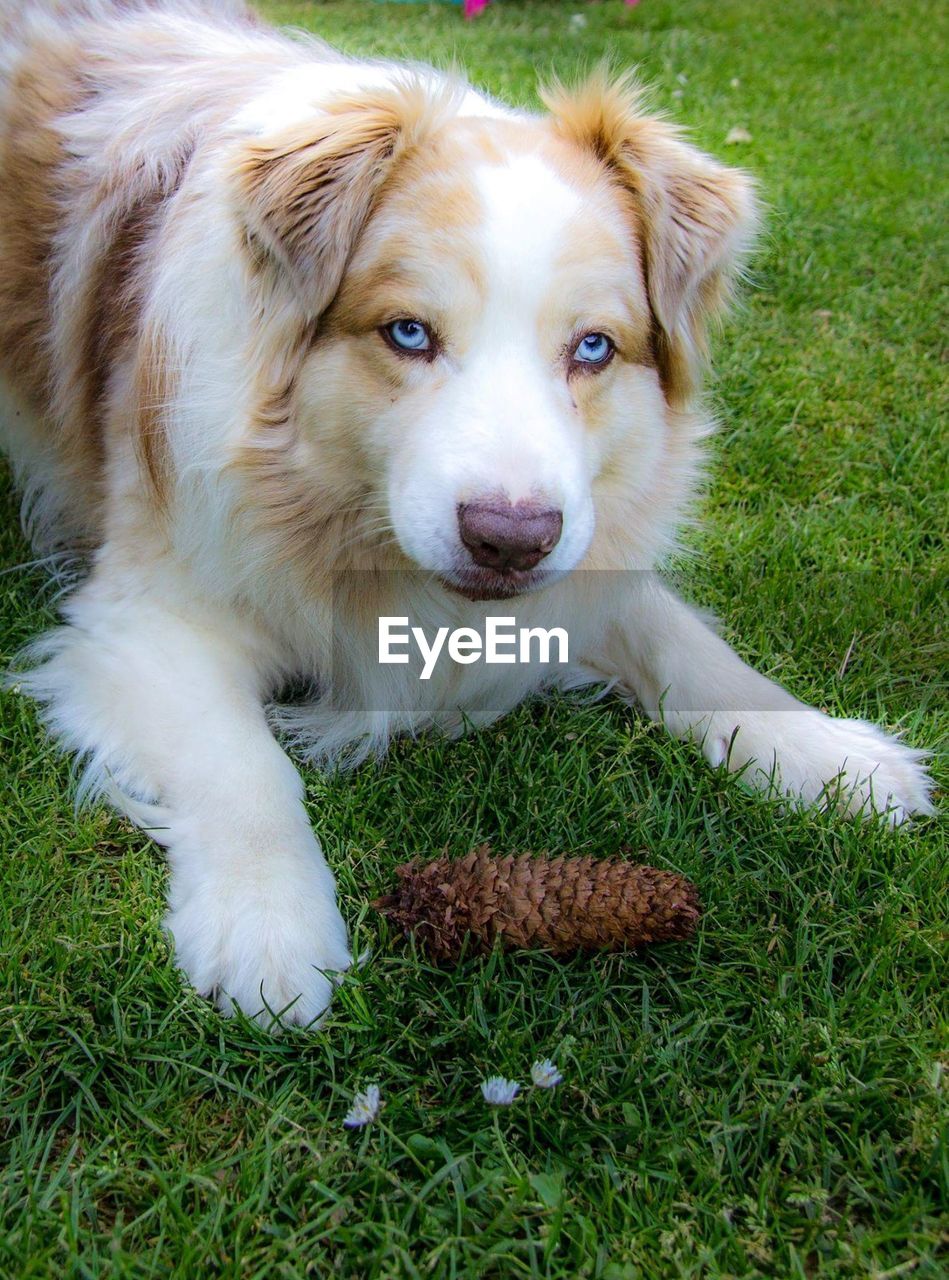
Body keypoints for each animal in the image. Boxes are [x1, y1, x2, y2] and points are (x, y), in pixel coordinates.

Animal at [0, 0, 927, 1018]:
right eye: (407, 333)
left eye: (594, 348)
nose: (510, 541)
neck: (338, 513)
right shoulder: (142, 616)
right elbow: (243, 764)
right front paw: (268, 929)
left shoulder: (583, 549)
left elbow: (682, 642)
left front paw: (832, 757)